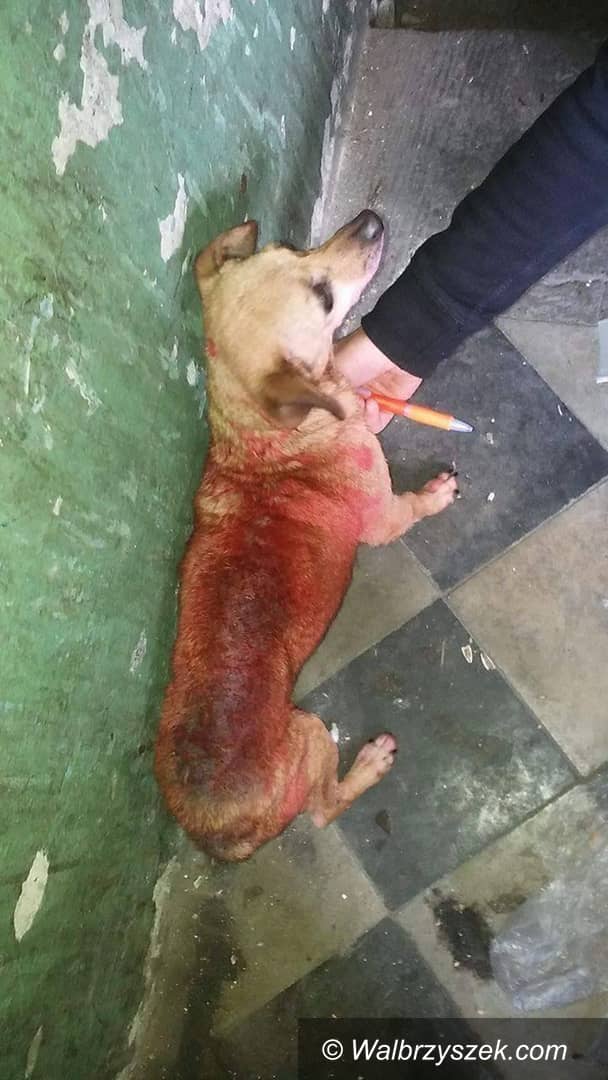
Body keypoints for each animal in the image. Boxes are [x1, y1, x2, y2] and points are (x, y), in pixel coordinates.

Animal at [155, 210, 457, 861]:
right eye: (321, 297)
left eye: (292, 249)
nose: (369, 220)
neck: (261, 432)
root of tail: (219, 832)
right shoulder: (382, 517)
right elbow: (409, 506)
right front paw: (434, 495)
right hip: (312, 735)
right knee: (324, 808)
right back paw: (368, 765)